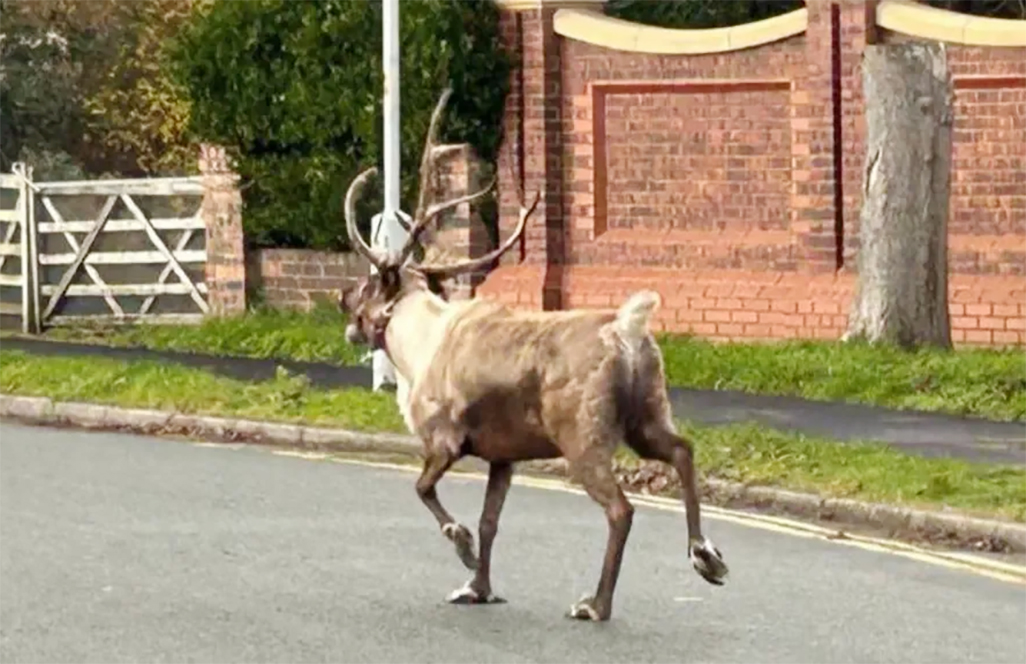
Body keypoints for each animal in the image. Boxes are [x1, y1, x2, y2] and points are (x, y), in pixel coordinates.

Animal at [337, 88, 729, 623]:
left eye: (371, 283)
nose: (341, 299)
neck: (415, 344)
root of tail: (627, 329)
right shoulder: (504, 455)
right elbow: (490, 522)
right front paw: (477, 586)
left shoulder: (444, 440)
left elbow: (424, 490)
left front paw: (462, 549)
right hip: (645, 416)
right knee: (684, 452)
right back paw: (705, 555)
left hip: (583, 437)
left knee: (621, 509)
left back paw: (596, 603)